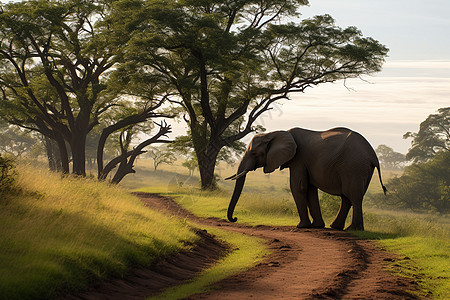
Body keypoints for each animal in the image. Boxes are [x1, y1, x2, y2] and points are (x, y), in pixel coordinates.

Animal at [225, 127, 386, 231]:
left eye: (254, 153)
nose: (235, 219)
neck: (276, 133)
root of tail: (373, 155)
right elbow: (310, 189)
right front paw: (317, 226)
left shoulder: (298, 158)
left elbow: (298, 187)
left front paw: (301, 226)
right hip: (361, 169)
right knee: (348, 197)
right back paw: (337, 227)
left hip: (354, 166)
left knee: (353, 195)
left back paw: (353, 229)